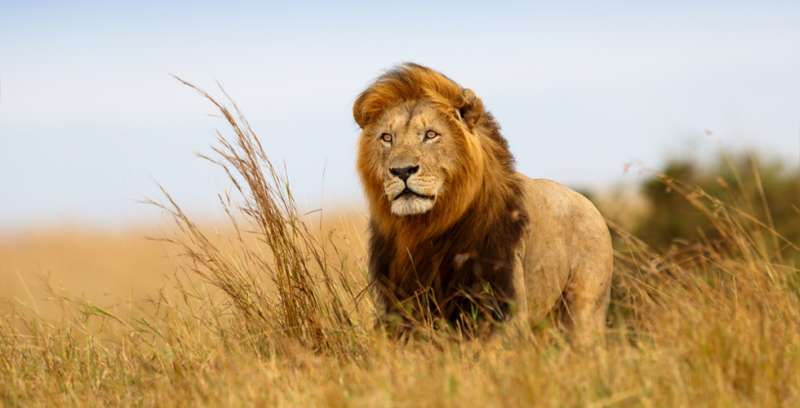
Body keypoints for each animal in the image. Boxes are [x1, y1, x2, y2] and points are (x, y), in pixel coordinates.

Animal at [353, 63, 613, 346]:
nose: (402, 171)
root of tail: (591, 206)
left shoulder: (503, 305)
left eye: (431, 134)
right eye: (387, 137)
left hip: (583, 310)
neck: (425, 229)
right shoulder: (397, 306)